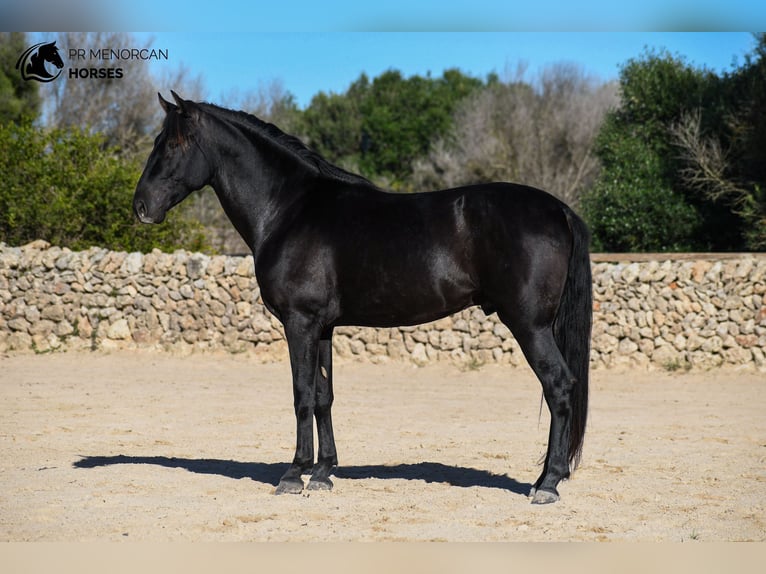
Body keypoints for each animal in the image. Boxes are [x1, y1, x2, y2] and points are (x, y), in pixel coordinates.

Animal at [134, 92, 592, 506]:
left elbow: (301, 394)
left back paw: (548, 483)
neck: (288, 209)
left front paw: (293, 473)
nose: (141, 206)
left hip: (529, 325)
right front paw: (322, 472)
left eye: (171, 144)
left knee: (559, 386)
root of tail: (558, 210)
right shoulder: (322, 327)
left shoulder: (299, 323)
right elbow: (323, 396)